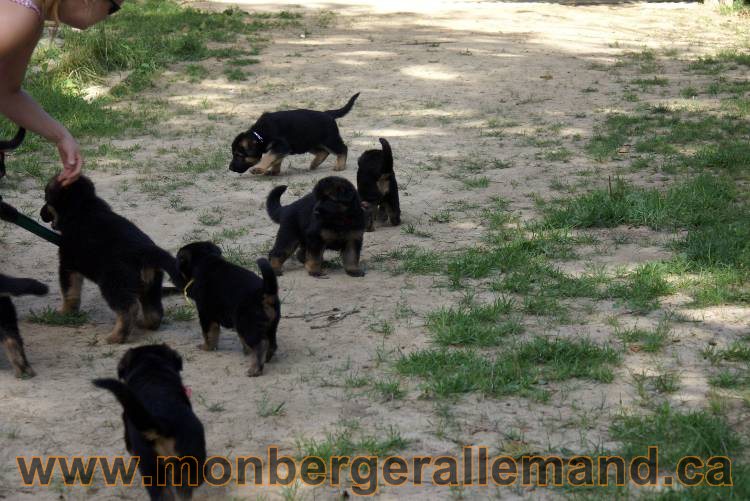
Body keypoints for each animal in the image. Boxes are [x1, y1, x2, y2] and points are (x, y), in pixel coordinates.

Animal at [177, 242, 282, 376]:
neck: (208, 261)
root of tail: (266, 293)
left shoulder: (205, 314)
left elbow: (208, 334)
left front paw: (206, 347)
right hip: (271, 326)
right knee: (271, 344)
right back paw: (266, 358)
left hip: (246, 325)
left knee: (260, 346)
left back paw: (255, 369)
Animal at [229, 92, 362, 176]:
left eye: (238, 155)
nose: (230, 168)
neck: (260, 134)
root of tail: (328, 114)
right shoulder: (282, 149)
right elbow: (276, 159)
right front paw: (274, 172)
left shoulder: (281, 145)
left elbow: (269, 156)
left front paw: (259, 168)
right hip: (308, 143)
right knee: (324, 152)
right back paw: (314, 164)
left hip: (329, 140)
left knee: (343, 149)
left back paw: (340, 166)